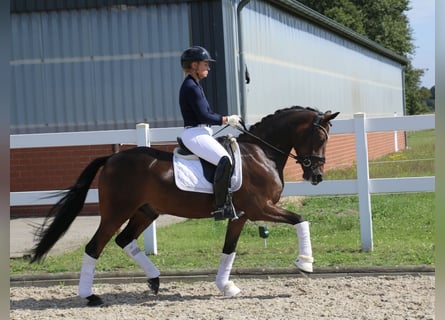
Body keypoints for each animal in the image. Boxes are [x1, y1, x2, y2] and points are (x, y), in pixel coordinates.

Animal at [29, 106, 338, 306]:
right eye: (321, 138)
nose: (317, 177)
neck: (261, 153)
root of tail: (111, 158)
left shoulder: (240, 215)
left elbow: (229, 248)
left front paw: (226, 286)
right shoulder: (259, 208)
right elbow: (300, 219)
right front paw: (305, 263)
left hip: (146, 211)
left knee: (124, 239)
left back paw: (154, 279)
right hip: (117, 212)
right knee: (95, 246)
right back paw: (90, 296)